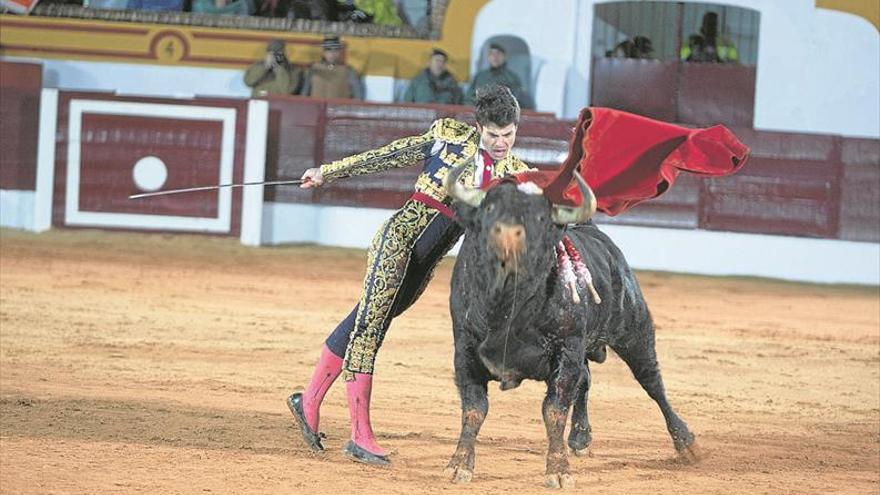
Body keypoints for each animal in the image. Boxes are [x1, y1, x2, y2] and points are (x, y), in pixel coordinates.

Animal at [446, 169, 700, 490]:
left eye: (541, 217)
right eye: (489, 208)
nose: (507, 235)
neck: (509, 303)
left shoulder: (567, 347)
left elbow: (554, 410)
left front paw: (558, 471)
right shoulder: (465, 347)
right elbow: (474, 408)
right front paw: (458, 465)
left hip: (634, 331)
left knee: (652, 382)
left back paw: (685, 442)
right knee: (586, 379)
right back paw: (580, 437)